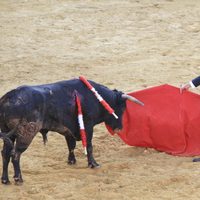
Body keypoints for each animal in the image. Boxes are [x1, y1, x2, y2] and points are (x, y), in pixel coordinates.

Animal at [0, 78, 143, 184]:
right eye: (122, 108)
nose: (120, 127)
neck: (96, 98)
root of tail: (8, 97)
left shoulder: (68, 130)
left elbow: (71, 146)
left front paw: (71, 161)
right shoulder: (88, 125)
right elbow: (89, 145)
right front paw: (93, 164)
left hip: (8, 133)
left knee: (5, 153)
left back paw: (5, 180)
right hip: (26, 134)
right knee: (15, 154)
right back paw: (18, 179)